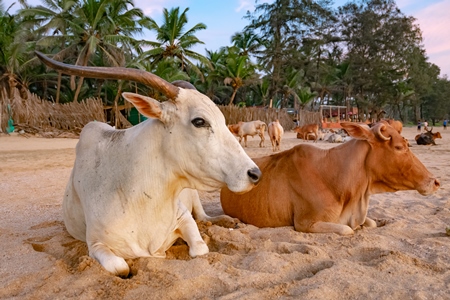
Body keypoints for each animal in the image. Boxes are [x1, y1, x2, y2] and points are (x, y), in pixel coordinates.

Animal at [36, 51, 264, 276]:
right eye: (199, 121)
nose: (254, 174)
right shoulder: (96, 244)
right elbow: (121, 267)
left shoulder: (183, 216)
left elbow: (200, 249)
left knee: (204, 216)